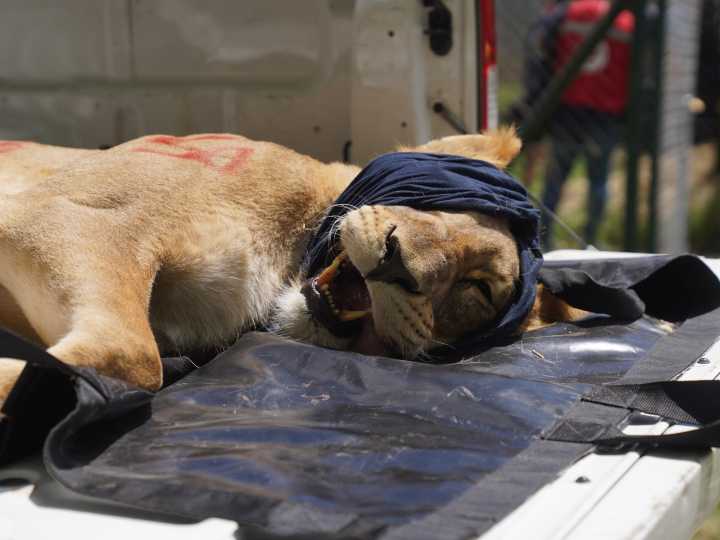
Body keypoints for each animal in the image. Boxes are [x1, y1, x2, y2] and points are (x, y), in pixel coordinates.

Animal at [0, 129, 578, 403]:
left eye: (478, 288)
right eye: (446, 204)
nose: (400, 265)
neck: (285, 260)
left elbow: (133, 357)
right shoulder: (56, 214)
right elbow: (131, 352)